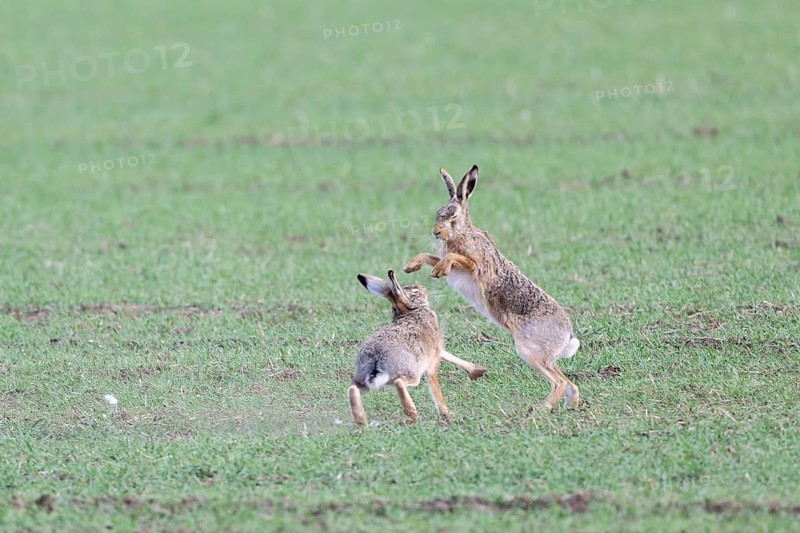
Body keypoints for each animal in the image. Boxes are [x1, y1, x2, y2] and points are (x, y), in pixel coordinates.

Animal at [348, 270, 486, 425]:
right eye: (415, 292)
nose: (424, 288)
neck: (410, 311)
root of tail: (376, 361)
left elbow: (448, 355)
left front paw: (478, 371)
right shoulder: (433, 359)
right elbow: (435, 385)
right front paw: (447, 413)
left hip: (362, 379)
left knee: (352, 390)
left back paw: (361, 421)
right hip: (411, 373)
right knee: (399, 382)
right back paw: (412, 413)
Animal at [403, 165, 580, 412]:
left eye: (453, 216)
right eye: (438, 213)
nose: (436, 232)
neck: (462, 232)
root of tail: (566, 336)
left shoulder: (476, 266)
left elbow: (454, 258)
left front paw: (439, 270)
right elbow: (430, 256)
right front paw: (411, 266)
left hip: (529, 351)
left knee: (559, 382)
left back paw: (539, 409)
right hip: (542, 357)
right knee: (567, 381)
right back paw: (571, 404)